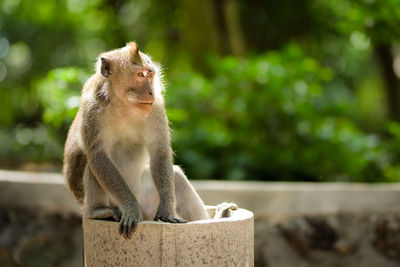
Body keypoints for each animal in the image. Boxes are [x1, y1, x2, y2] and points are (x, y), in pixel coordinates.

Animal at [63, 43, 238, 240]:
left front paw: (168, 212)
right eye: (140, 75)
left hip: (149, 200)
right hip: (113, 201)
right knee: (93, 166)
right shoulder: (92, 109)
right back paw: (98, 211)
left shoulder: (156, 108)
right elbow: (98, 156)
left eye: (150, 75)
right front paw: (131, 208)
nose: (151, 91)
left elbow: (160, 152)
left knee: (176, 175)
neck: (123, 105)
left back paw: (217, 216)